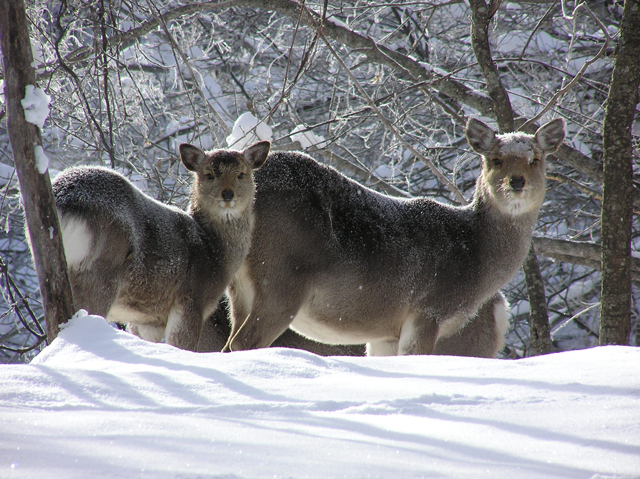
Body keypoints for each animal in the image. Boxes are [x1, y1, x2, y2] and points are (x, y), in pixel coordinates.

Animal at [51, 141, 268, 350]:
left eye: (241, 174)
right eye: (209, 175)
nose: (228, 194)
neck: (213, 252)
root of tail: (66, 198)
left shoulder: (148, 319)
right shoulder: (190, 300)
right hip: (99, 272)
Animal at [222, 116, 564, 356]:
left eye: (536, 159)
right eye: (495, 159)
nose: (517, 181)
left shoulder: (385, 333)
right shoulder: (428, 309)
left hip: (239, 288)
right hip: (282, 276)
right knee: (244, 342)